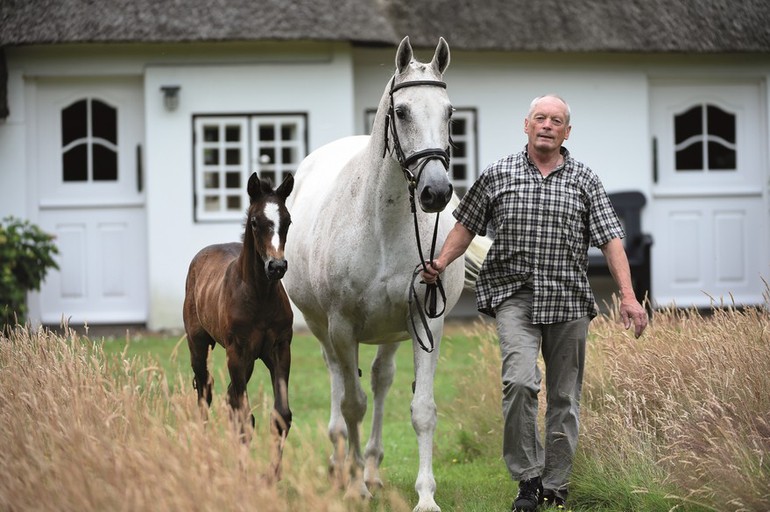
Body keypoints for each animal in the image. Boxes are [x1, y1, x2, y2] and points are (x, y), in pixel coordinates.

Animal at [282, 37, 486, 512]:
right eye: (403, 112)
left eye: (450, 112)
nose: (436, 192)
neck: (381, 225)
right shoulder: (341, 327)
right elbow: (352, 404)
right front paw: (354, 486)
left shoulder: (426, 322)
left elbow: (422, 410)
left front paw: (425, 496)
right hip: (322, 329)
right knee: (340, 383)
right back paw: (344, 467)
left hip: (393, 333)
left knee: (381, 379)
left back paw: (372, 469)